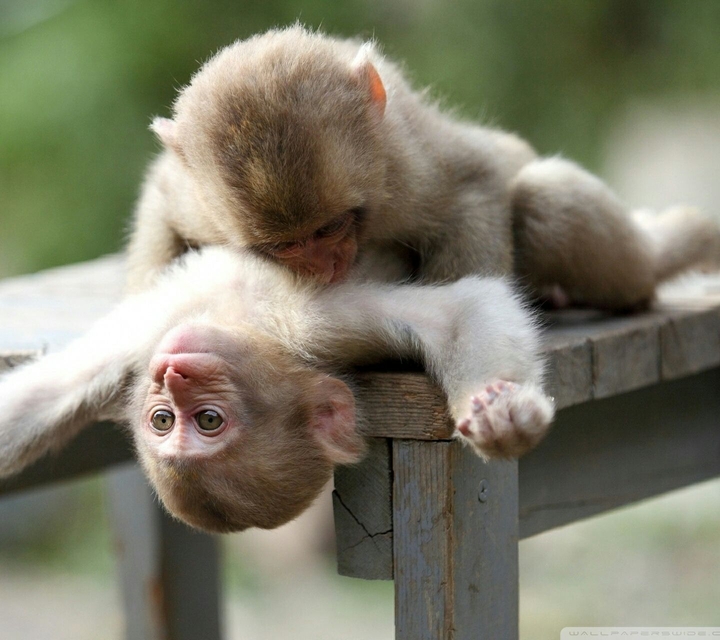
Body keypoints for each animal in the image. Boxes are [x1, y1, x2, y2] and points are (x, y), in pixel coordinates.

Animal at [0, 247, 553, 532]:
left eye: (207, 420)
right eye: (163, 420)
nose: (173, 375)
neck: (239, 320)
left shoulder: (311, 326)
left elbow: (463, 309)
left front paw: (502, 413)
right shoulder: (144, 347)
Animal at [127, 25, 720, 309]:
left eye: (330, 228)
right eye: (285, 246)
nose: (325, 267)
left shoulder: (404, 172)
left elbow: (475, 186)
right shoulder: (199, 201)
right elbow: (160, 198)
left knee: (544, 202)